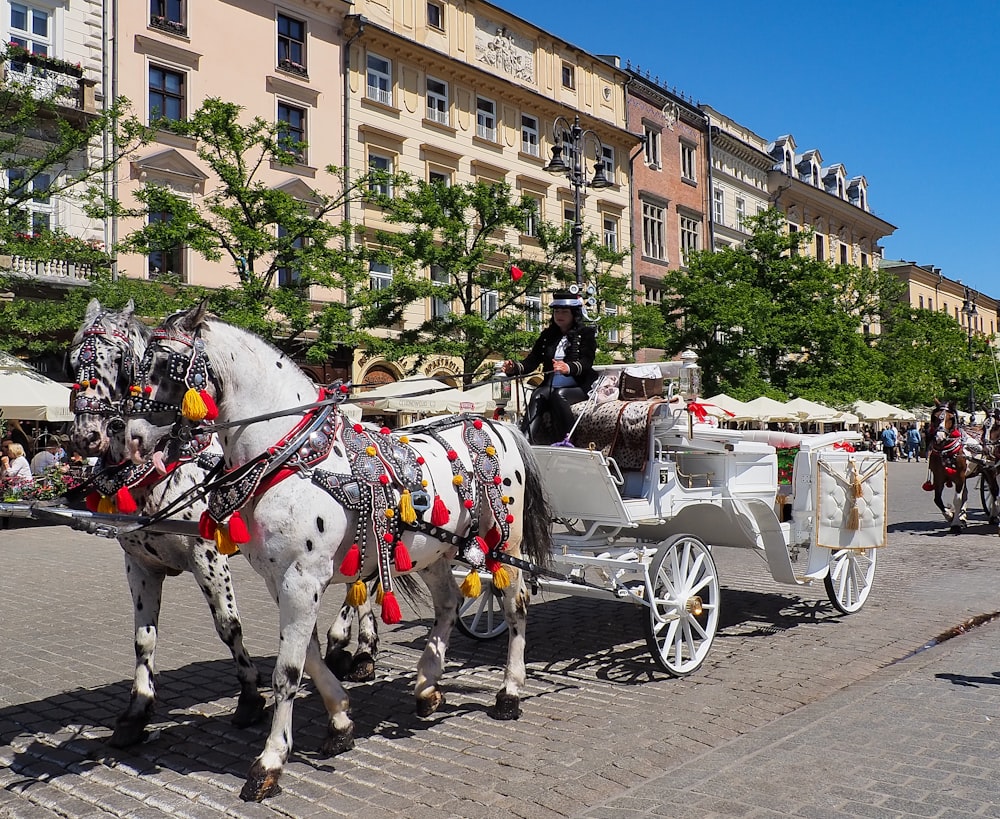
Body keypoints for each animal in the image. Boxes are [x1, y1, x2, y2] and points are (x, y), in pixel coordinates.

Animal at [123, 306, 556, 800]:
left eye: (165, 365)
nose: (131, 437)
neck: (294, 457)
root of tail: (496, 422)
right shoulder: (281, 580)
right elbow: (308, 658)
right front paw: (341, 720)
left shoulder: (302, 577)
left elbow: (287, 670)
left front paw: (270, 762)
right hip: (437, 550)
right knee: (449, 602)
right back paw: (428, 684)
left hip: (505, 542)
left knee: (515, 605)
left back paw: (509, 691)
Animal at [924, 400, 980, 536]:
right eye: (934, 417)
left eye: (950, 418)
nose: (939, 437)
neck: (946, 452)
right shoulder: (939, 478)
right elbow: (937, 499)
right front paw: (950, 515)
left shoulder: (960, 477)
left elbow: (957, 500)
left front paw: (955, 524)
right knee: (965, 494)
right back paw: (962, 517)